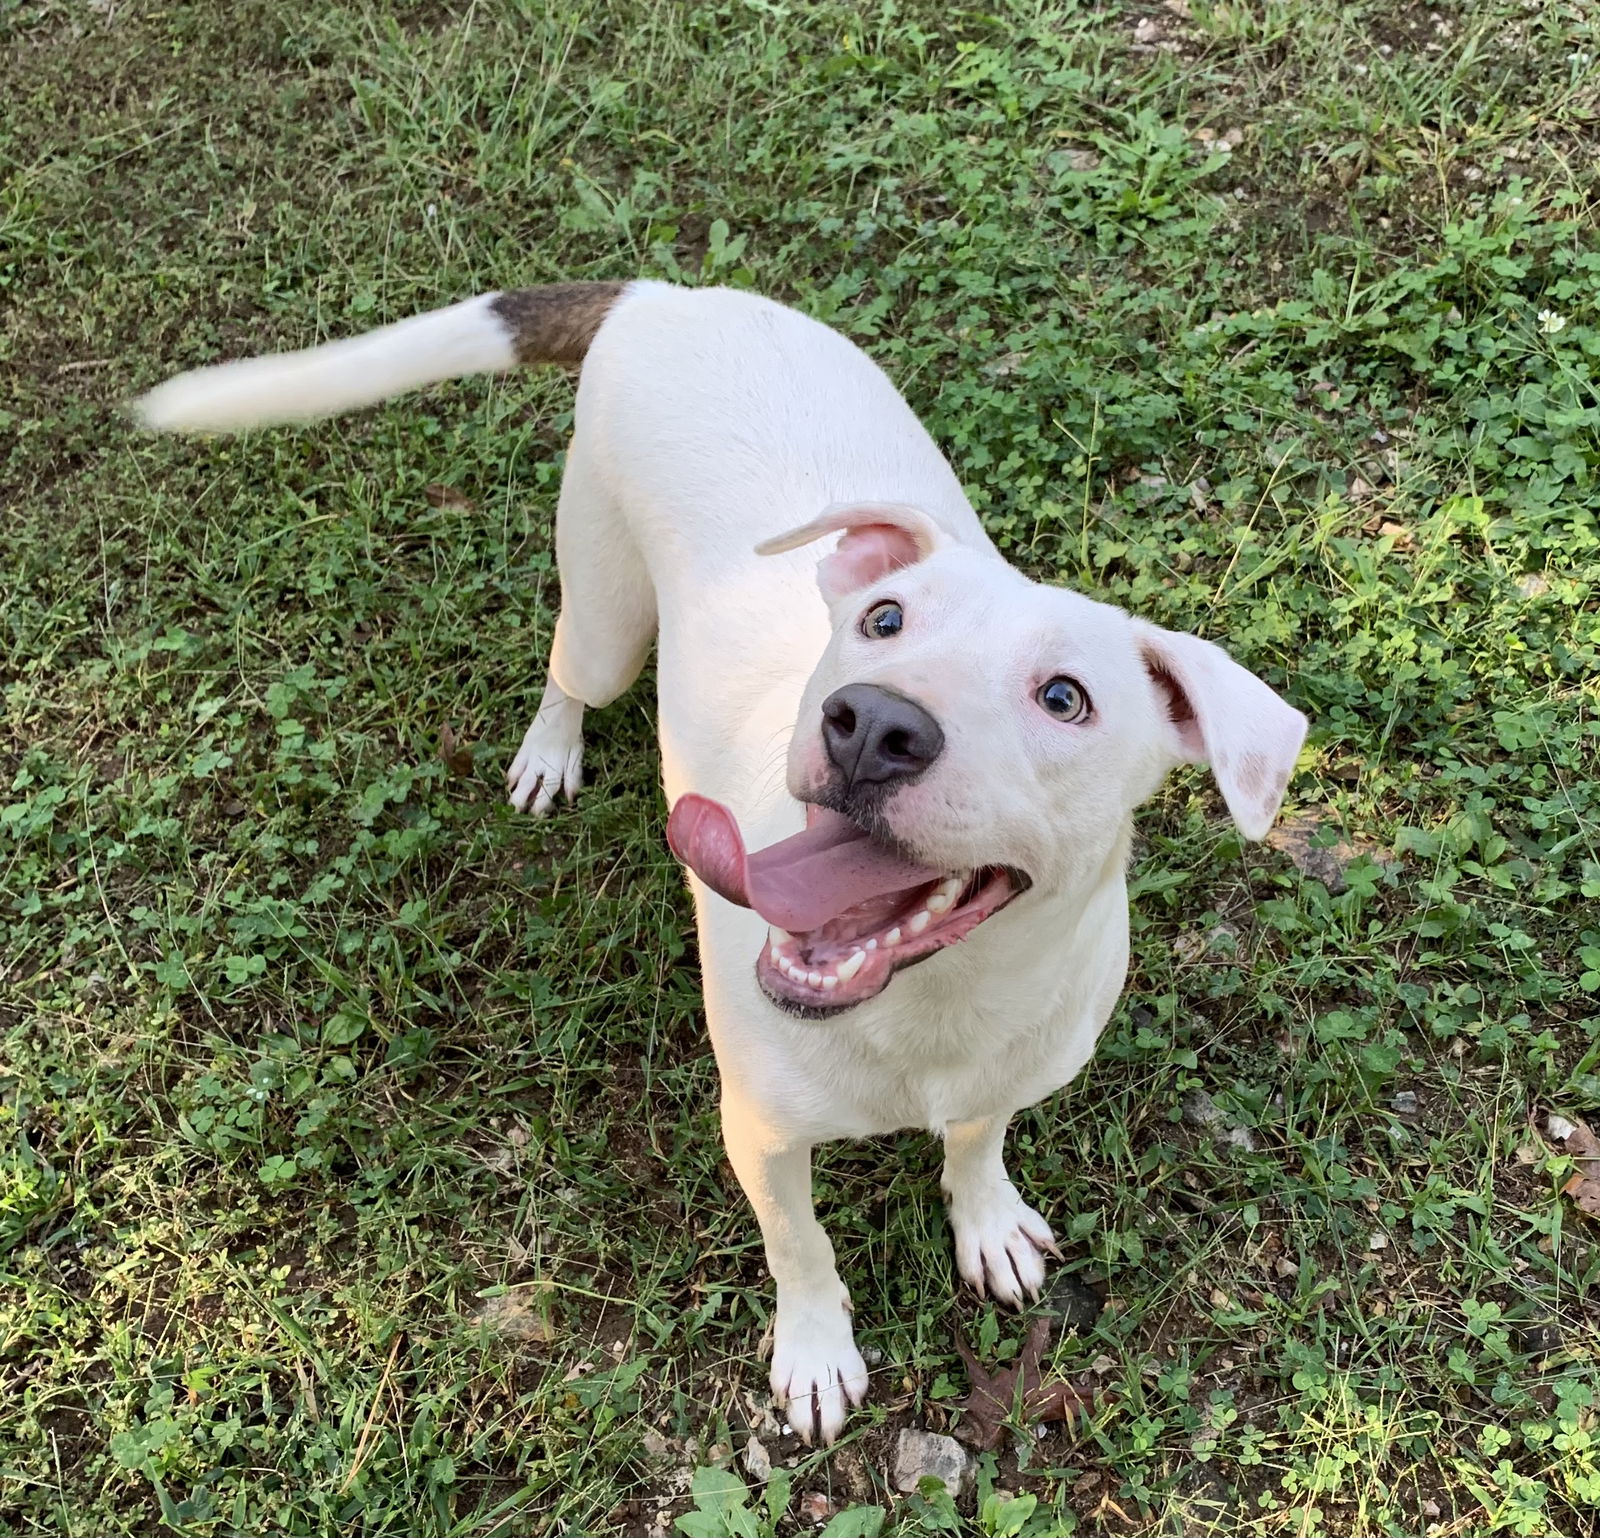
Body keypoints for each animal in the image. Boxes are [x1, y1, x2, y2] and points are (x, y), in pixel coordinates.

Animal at [134, 278, 1312, 1440]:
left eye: (1066, 697)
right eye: (884, 619)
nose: (870, 724)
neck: (932, 1008)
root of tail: (664, 289)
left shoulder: (1007, 1073)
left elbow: (976, 1142)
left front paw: (986, 1220)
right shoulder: (760, 1129)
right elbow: (802, 1243)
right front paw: (816, 1354)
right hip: (605, 606)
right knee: (570, 668)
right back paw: (549, 753)